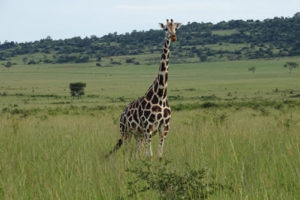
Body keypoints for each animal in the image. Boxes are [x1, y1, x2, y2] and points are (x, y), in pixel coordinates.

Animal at [106, 18, 182, 159]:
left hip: (138, 134)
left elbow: (159, 156)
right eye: (165, 28)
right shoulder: (148, 127)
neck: (161, 94)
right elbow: (149, 156)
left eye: (176, 28)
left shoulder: (164, 128)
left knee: (137, 152)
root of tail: (122, 113)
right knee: (127, 151)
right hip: (126, 131)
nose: (174, 37)